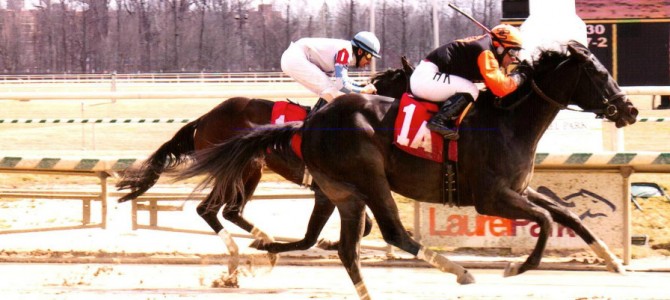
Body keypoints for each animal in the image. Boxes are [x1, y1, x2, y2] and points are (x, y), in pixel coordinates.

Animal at [115, 57, 412, 284]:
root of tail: (204, 118)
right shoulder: (326, 191)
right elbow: (331, 231)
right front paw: (328, 243)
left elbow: (365, 225)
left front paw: (330, 243)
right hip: (241, 168)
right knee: (209, 209)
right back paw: (244, 255)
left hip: (249, 171)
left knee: (230, 211)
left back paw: (259, 246)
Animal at [176, 41, 636, 298]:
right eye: (599, 74)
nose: (629, 109)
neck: (508, 120)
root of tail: (307, 125)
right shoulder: (491, 198)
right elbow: (545, 220)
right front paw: (515, 267)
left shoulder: (518, 189)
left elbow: (568, 215)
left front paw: (613, 260)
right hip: (362, 179)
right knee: (393, 233)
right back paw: (459, 271)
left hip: (342, 191)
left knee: (342, 246)